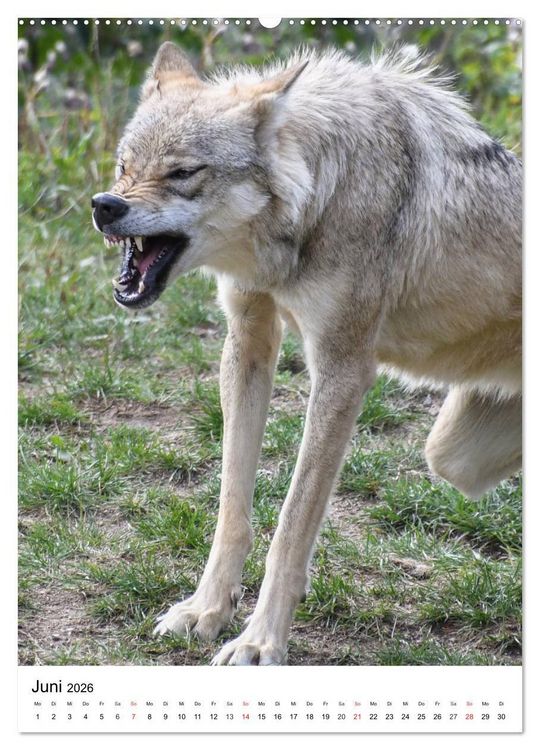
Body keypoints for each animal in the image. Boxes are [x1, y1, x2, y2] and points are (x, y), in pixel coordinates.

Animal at [92, 42, 522, 665]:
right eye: (124, 166)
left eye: (182, 173)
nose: (105, 206)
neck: (317, 197)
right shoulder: (247, 342)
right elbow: (231, 507)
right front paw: (207, 611)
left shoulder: (343, 371)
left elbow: (292, 526)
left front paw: (259, 642)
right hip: (454, 455)